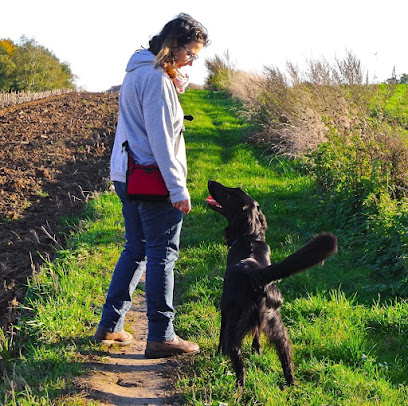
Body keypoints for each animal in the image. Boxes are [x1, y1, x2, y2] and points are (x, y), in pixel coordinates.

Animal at [207, 181, 338, 386]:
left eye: (228, 195)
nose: (211, 182)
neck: (251, 238)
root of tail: (258, 276)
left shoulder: (225, 309)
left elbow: (222, 333)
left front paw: (219, 354)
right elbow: (257, 335)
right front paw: (257, 350)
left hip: (237, 327)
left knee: (238, 362)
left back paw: (238, 387)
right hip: (277, 326)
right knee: (286, 357)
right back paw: (291, 385)